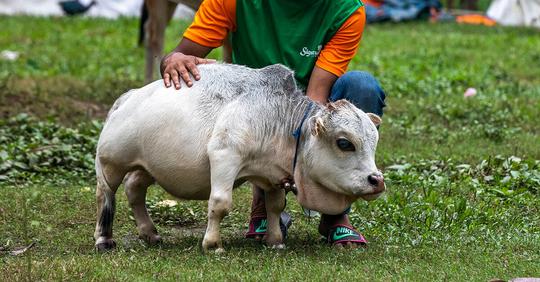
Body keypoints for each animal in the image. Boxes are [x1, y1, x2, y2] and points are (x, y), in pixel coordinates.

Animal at [96, 63, 384, 251]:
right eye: (345, 143)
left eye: (374, 142)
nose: (377, 180)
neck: (277, 117)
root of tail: (128, 97)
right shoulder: (225, 156)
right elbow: (220, 203)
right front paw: (213, 244)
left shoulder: (272, 175)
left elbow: (275, 206)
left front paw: (274, 241)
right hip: (111, 163)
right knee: (106, 194)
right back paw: (103, 239)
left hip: (148, 167)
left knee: (134, 189)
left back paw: (149, 233)